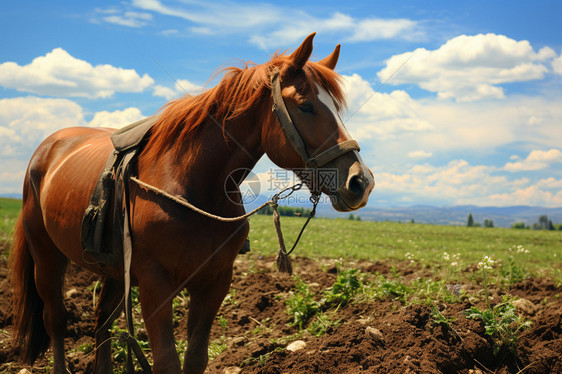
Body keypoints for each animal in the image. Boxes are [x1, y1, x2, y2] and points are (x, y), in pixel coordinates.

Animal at [8, 33, 374, 372]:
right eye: (305, 105)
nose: (361, 181)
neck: (192, 185)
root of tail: (48, 148)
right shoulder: (155, 284)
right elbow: (167, 361)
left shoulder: (214, 282)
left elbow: (195, 358)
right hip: (47, 255)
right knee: (55, 318)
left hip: (112, 269)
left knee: (102, 322)